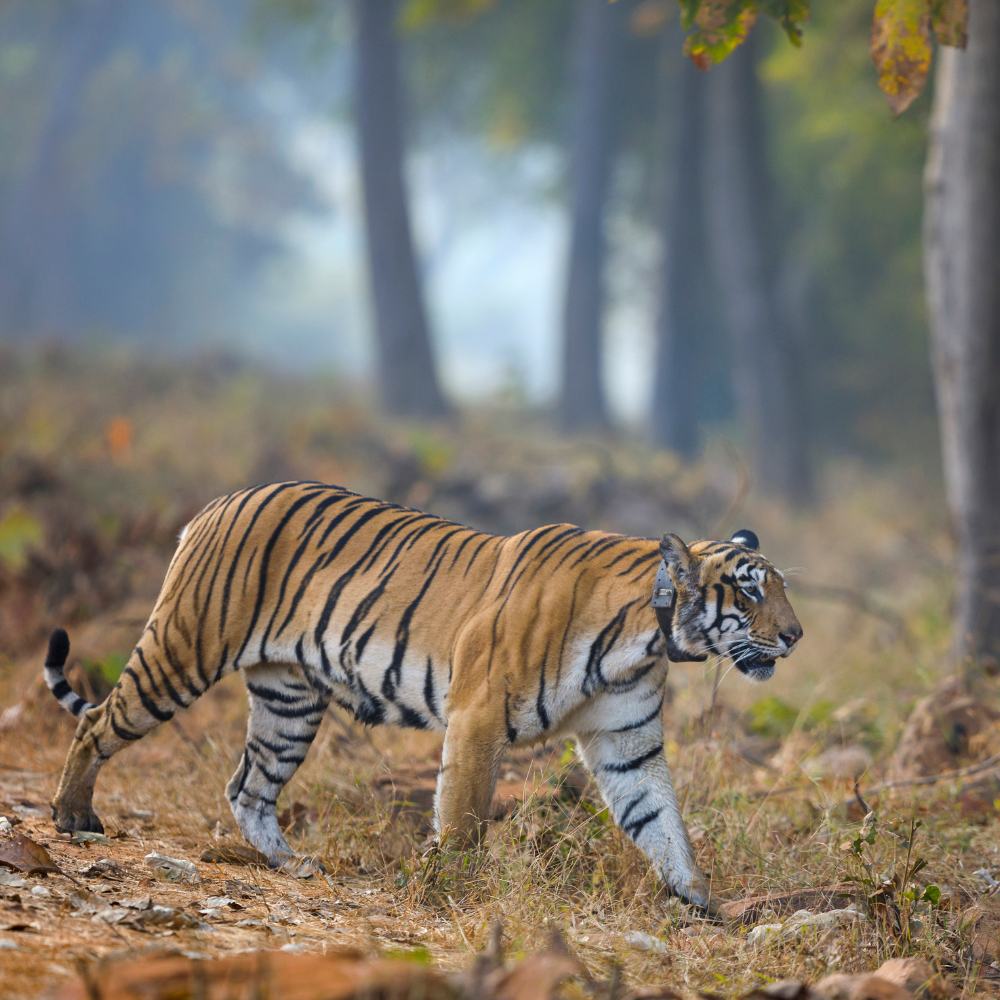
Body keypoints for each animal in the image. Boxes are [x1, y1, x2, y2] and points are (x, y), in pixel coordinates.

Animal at [43, 481, 802, 909]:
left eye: (780, 587)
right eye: (749, 590)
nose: (795, 635)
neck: (646, 636)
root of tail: (216, 504)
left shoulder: (626, 743)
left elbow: (662, 820)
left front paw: (699, 897)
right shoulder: (478, 715)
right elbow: (463, 816)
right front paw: (456, 889)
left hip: (290, 700)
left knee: (247, 786)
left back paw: (293, 864)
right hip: (184, 648)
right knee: (97, 723)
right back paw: (74, 816)